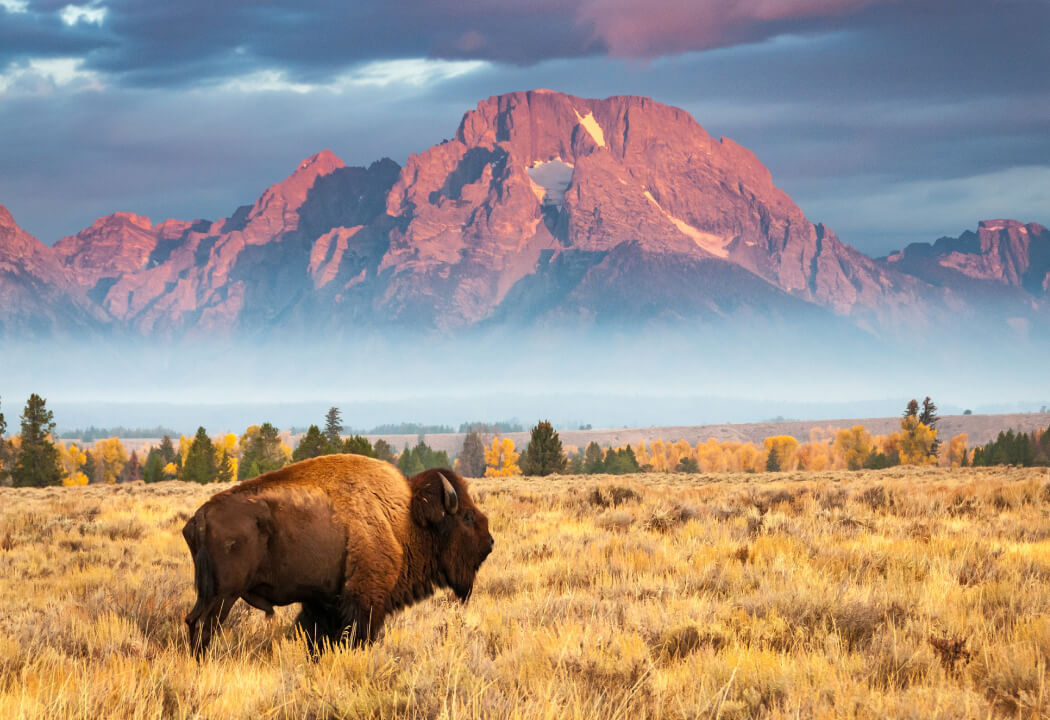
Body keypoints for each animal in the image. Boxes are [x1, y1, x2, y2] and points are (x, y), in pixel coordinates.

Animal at [180, 457, 491, 659]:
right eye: (466, 516)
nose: (489, 542)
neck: (405, 518)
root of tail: (200, 517)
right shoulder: (365, 602)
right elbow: (357, 637)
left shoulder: (323, 602)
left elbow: (314, 637)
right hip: (223, 595)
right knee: (204, 625)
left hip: (210, 593)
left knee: (193, 622)